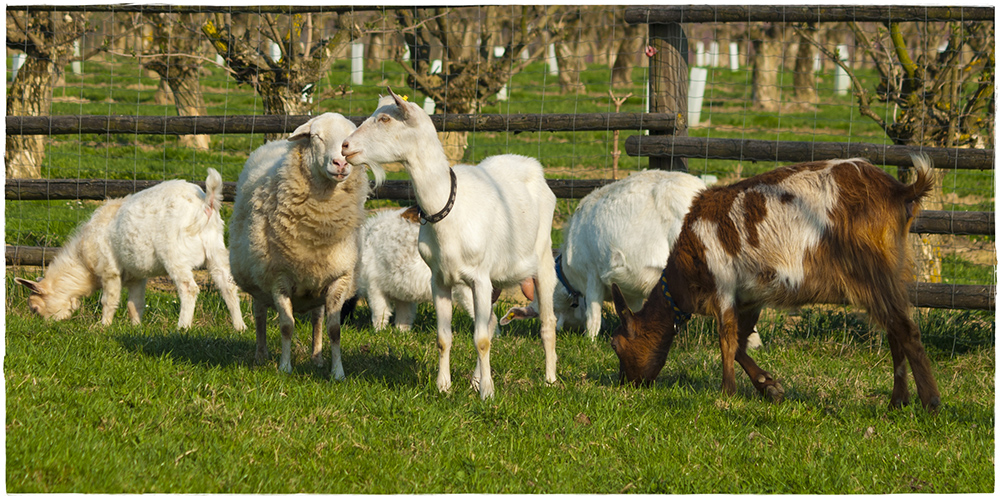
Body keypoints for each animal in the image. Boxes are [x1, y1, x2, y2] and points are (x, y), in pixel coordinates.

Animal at [15, 168, 244, 330]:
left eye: (35, 309)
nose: (44, 326)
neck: (83, 262)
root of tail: (206, 205)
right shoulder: (137, 276)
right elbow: (135, 304)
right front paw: (136, 327)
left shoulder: (109, 270)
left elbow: (109, 300)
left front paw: (103, 326)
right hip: (216, 249)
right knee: (228, 286)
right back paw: (239, 327)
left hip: (175, 255)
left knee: (189, 289)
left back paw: (183, 327)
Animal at [229, 113, 384, 378]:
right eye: (316, 137)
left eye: (348, 141)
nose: (340, 163)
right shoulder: (278, 278)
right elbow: (286, 325)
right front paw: (285, 368)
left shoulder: (338, 277)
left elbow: (334, 329)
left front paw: (337, 372)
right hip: (258, 277)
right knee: (259, 315)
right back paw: (261, 355)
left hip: (317, 287)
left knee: (317, 320)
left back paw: (317, 358)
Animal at [342, 89, 564, 398]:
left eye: (385, 119)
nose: (345, 146)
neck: (448, 211)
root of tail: (532, 165)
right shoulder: (440, 279)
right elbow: (443, 337)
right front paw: (444, 387)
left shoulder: (479, 278)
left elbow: (481, 339)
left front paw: (488, 394)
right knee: (492, 321)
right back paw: (476, 379)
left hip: (542, 259)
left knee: (547, 322)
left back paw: (549, 379)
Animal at [608, 156, 944, 412]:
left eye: (616, 344)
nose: (626, 382)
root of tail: (899, 190)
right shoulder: (750, 295)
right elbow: (741, 343)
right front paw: (769, 386)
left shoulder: (723, 285)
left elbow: (727, 338)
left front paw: (727, 392)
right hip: (891, 270)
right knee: (894, 330)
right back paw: (898, 401)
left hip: (872, 270)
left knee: (904, 330)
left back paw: (930, 402)